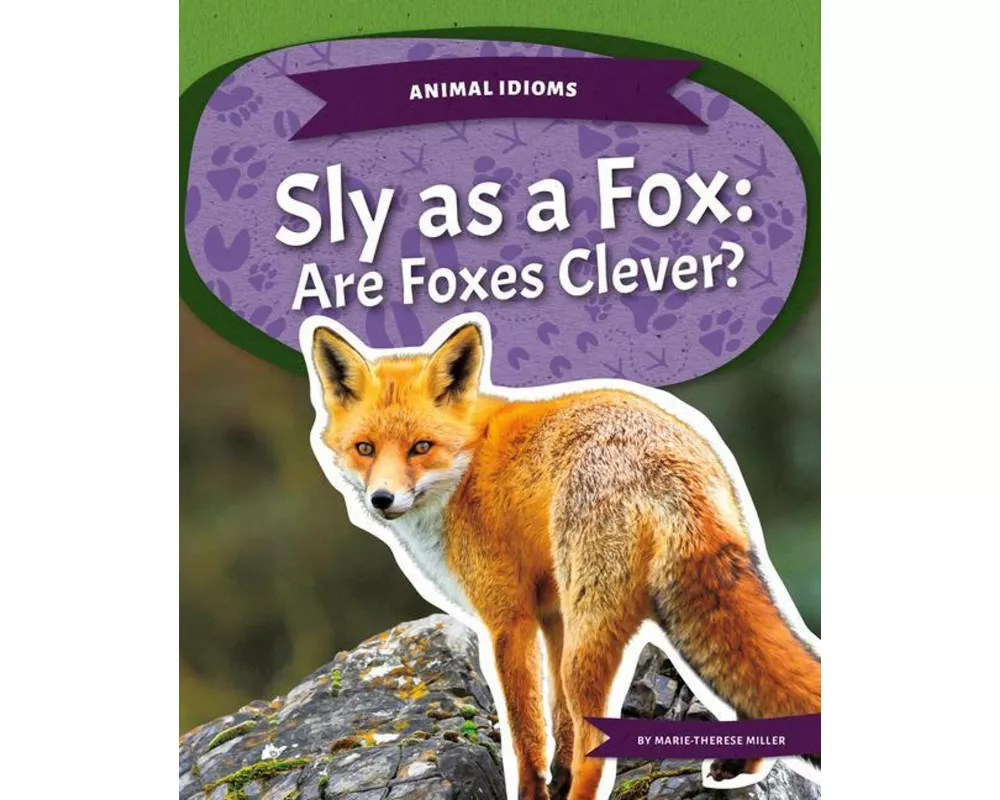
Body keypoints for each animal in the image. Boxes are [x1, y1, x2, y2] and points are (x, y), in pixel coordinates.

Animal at [301, 313, 820, 800]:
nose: (381, 500)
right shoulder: (553, 615)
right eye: (365, 448)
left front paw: (534, 790)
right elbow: (559, 723)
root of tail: (670, 462)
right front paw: (558, 775)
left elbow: (527, 727)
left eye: (421, 447)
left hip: (587, 643)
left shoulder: (508, 619)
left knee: (599, 749)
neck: (467, 466)